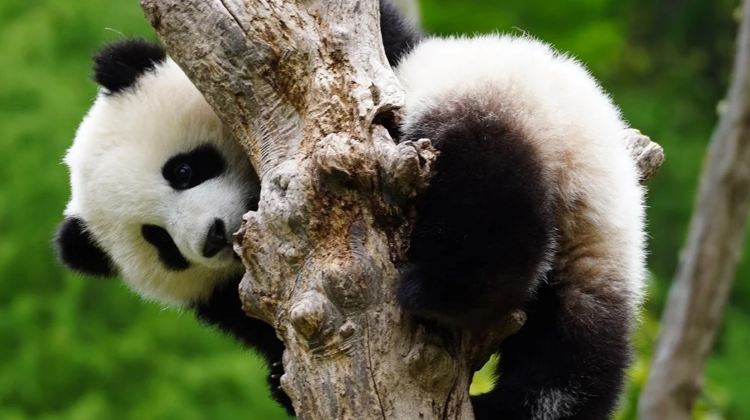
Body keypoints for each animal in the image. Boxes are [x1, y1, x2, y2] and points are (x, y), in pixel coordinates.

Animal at [55, 2, 645, 419]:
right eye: (159, 241)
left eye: (182, 170)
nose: (213, 237)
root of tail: (585, 192)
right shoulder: (230, 291)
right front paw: (279, 379)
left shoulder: (373, 66)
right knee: (575, 357)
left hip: (500, 112)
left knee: (486, 191)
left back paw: (442, 291)